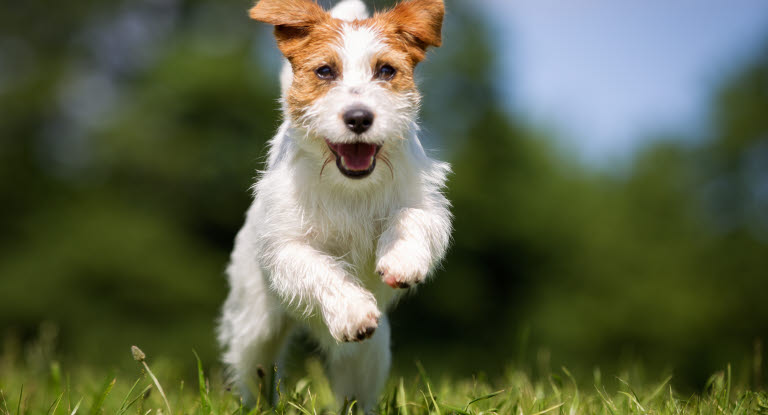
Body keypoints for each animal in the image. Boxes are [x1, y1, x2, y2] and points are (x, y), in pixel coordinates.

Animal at [218, 0, 450, 410]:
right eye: (325, 71)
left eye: (386, 70)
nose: (359, 117)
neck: (349, 187)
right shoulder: (287, 246)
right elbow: (319, 269)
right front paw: (352, 311)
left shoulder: (426, 203)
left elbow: (413, 218)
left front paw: (402, 259)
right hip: (255, 328)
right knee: (255, 370)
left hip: (369, 357)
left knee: (353, 390)